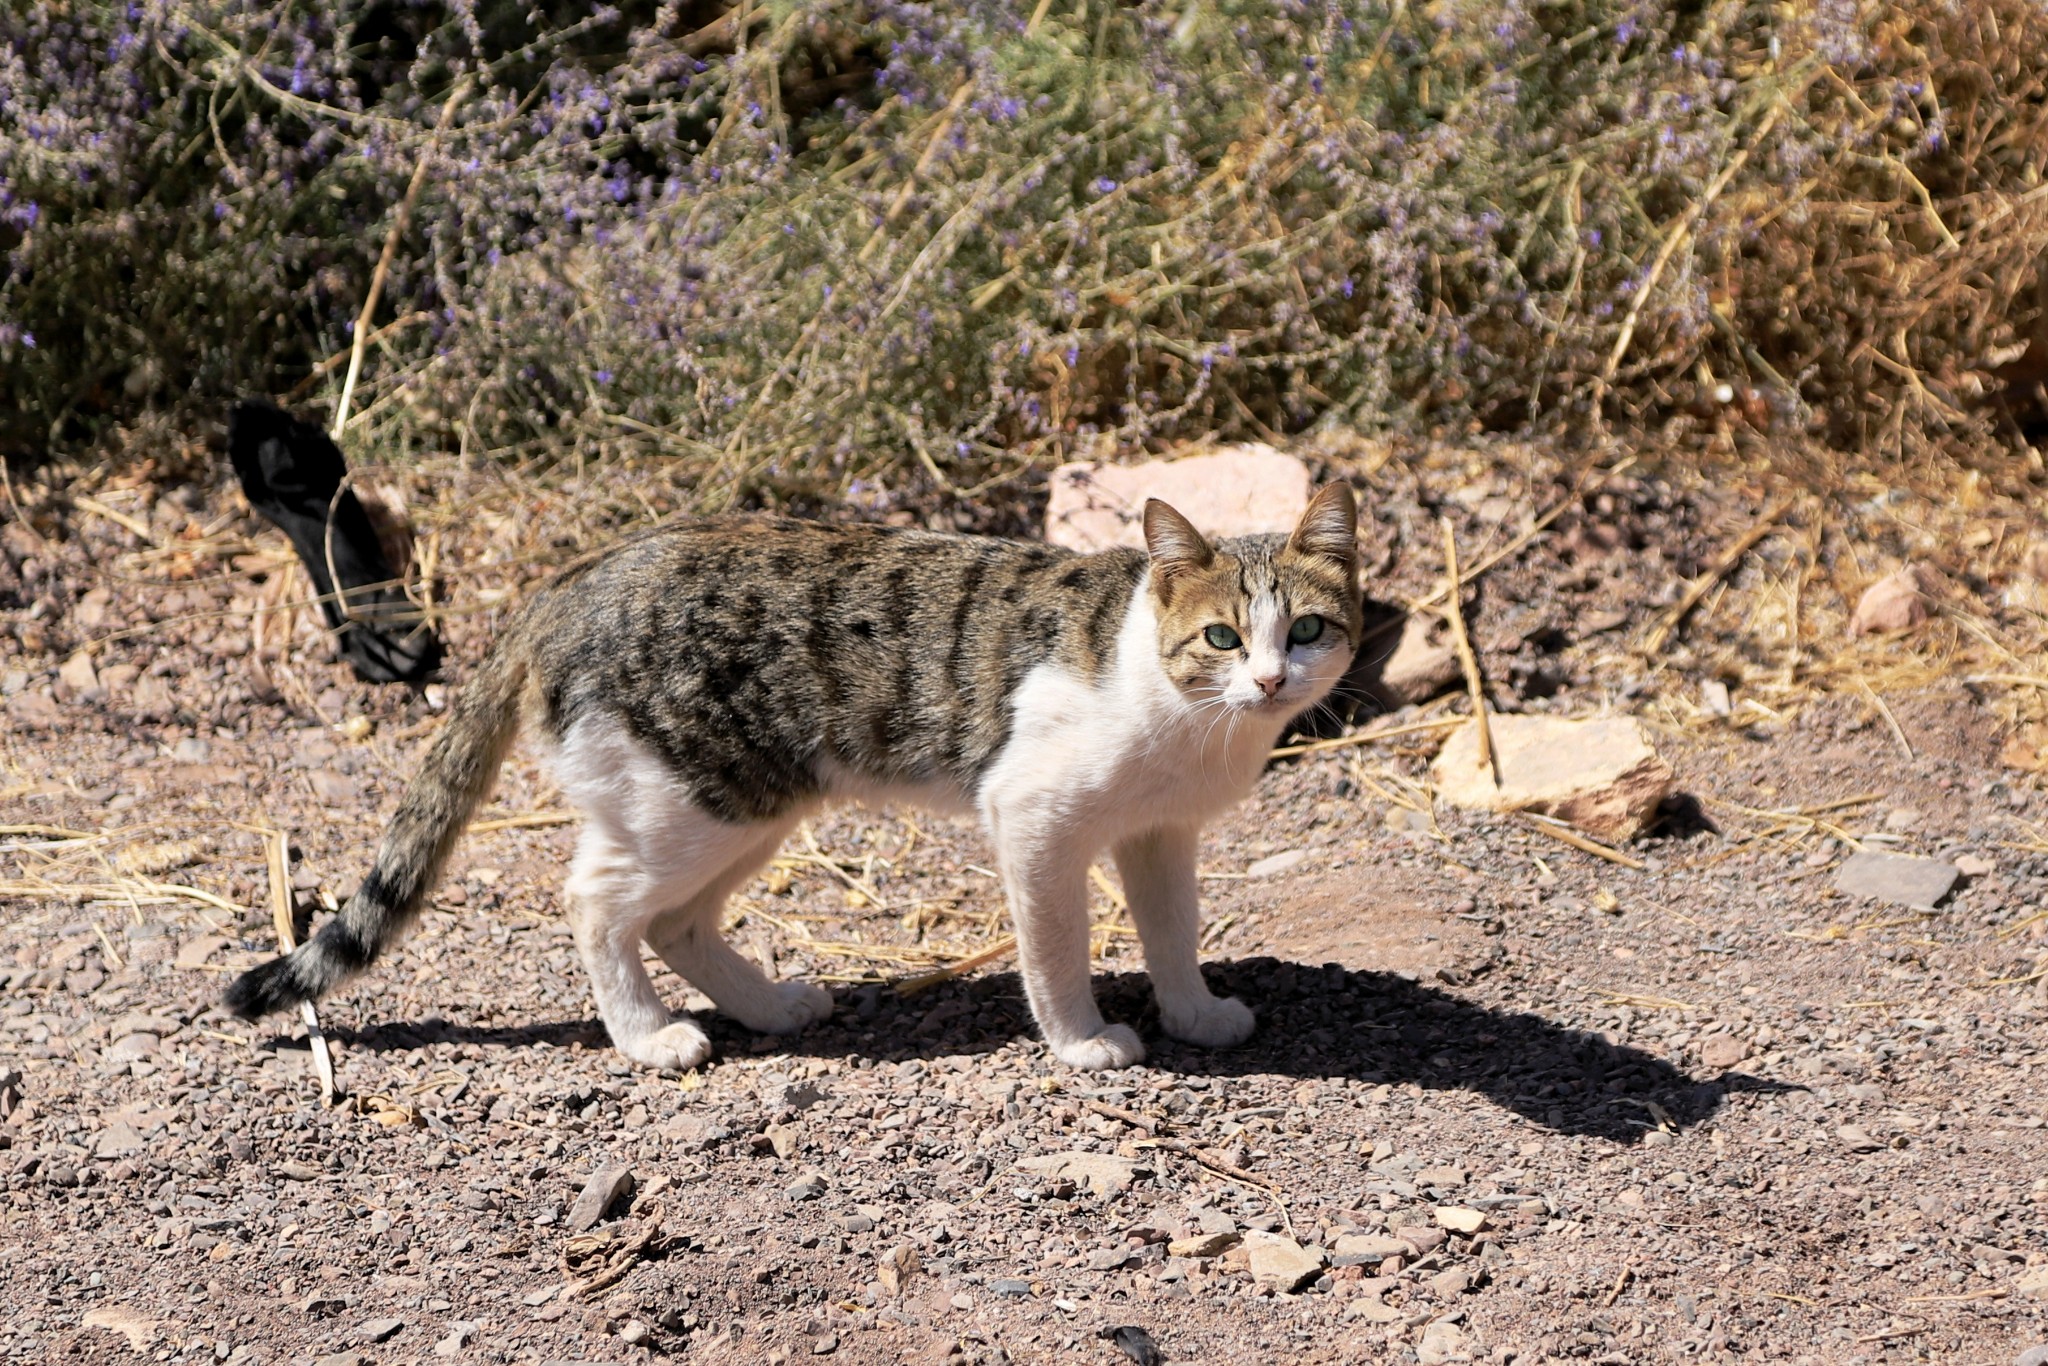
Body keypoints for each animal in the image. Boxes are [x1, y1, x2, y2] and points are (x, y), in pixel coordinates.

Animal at [228, 485, 1359, 1073]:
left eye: (1306, 628)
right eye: (1220, 636)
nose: (1270, 679)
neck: (1182, 711)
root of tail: (566, 583)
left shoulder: (1159, 832)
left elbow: (1172, 931)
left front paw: (1194, 1013)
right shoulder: (1034, 819)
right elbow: (1057, 950)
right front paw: (1083, 1044)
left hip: (745, 806)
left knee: (676, 921)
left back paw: (768, 1009)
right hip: (692, 804)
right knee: (593, 901)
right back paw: (647, 1038)